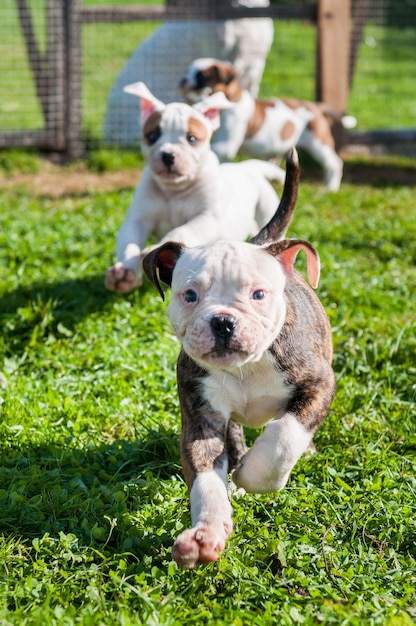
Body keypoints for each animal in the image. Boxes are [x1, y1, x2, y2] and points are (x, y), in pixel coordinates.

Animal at [105, 82, 286, 292]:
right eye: (152, 136)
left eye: (192, 139)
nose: (168, 155)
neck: (174, 190)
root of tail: (246, 166)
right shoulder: (137, 220)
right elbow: (129, 242)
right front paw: (124, 272)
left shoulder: (205, 218)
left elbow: (183, 230)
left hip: (266, 210)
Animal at [142, 150, 334, 564]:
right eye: (190, 295)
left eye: (258, 294)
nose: (223, 321)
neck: (248, 367)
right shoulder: (201, 417)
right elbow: (205, 477)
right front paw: (206, 533)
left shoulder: (318, 384)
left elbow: (283, 435)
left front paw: (252, 475)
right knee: (235, 436)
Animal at [177, 58, 356, 190]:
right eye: (187, 72)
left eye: (202, 76)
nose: (183, 80)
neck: (231, 98)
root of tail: (315, 106)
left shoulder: (226, 144)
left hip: (319, 144)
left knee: (334, 163)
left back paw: (330, 188)